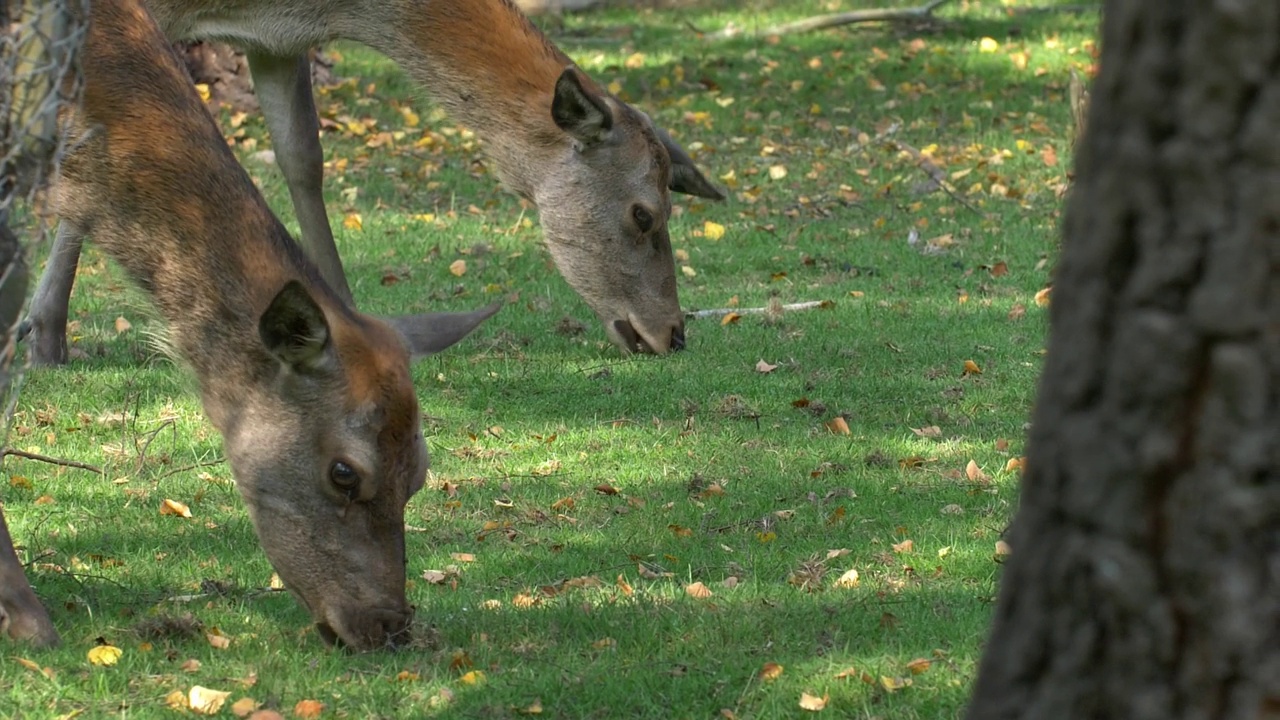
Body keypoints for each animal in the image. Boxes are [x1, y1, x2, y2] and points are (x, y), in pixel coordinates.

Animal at [20, 0, 727, 361]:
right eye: (643, 213)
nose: (673, 333)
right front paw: (45, 333)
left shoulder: (275, 39)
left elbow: (303, 157)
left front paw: (340, 307)